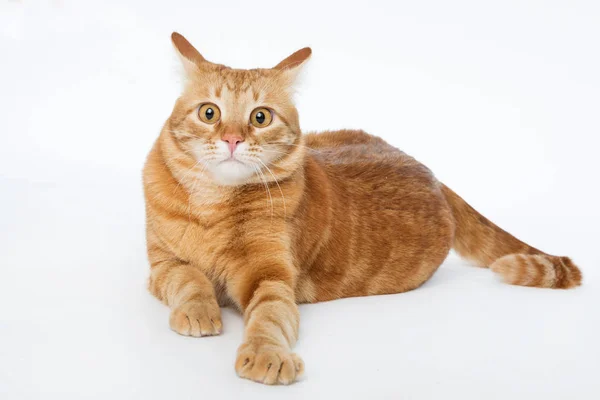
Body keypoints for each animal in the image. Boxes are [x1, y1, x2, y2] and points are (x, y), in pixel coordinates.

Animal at [143, 33, 584, 384]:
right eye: (209, 112)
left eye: (261, 117)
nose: (233, 140)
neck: (212, 204)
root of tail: (431, 172)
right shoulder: (161, 267)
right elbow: (190, 279)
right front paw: (200, 312)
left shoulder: (271, 276)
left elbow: (270, 317)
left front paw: (268, 354)